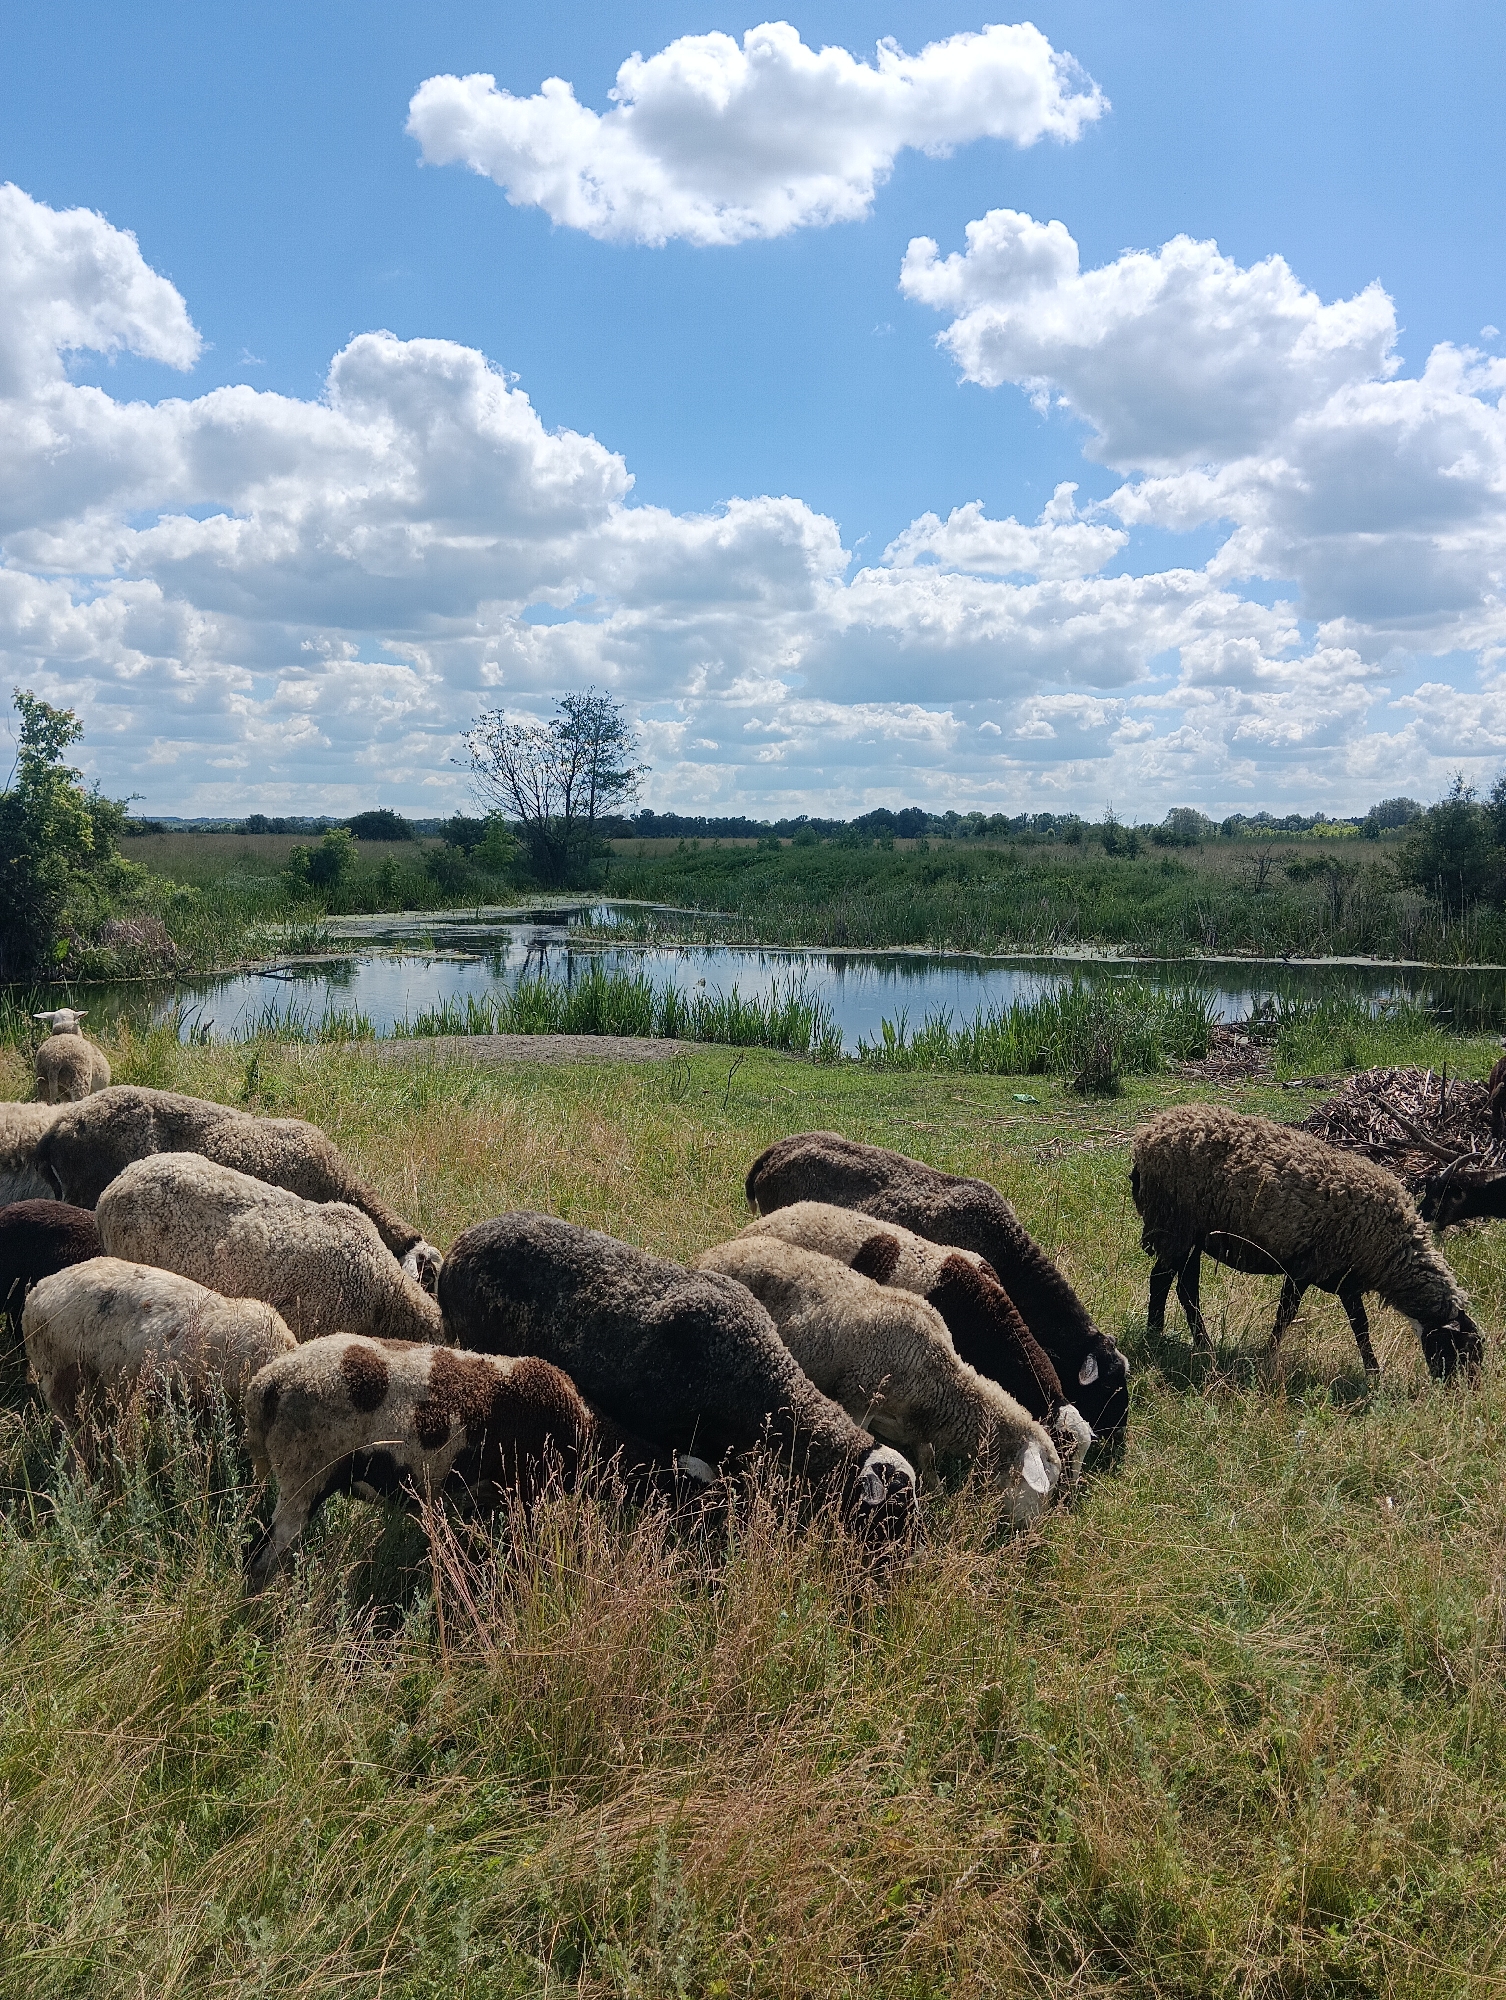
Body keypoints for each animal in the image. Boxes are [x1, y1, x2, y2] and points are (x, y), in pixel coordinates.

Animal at [243, 1336, 707, 1586]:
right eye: (694, 1492)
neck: (583, 1431)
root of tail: (268, 1382)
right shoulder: (525, 1496)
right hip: (304, 1471)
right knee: (263, 1555)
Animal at [696, 1234, 1062, 1524]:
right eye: (1043, 1487)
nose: (1033, 1533)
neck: (936, 1378)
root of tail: (713, 1253)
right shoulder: (858, 1400)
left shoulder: (914, 1424)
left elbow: (927, 1458)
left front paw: (938, 1494)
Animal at [1131, 1102, 1483, 1381]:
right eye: (1462, 1349)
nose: (1461, 1393)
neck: (1389, 1251)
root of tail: (1148, 1135)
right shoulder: (1303, 1268)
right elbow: (1286, 1316)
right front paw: (1267, 1358)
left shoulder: (1345, 1280)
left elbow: (1360, 1326)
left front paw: (1373, 1373)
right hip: (1174, 1224)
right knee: (1163, 1279)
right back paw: (1157, 1336)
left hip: (1192, 1233)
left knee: (1184, 1286)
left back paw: (1200, 1345)